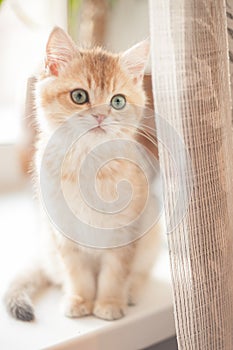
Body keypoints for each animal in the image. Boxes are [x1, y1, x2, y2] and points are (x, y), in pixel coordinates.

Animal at [4, 27, 160, 322]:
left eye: (118, 101)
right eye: (79, 96)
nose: (100, 116)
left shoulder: (125, 233)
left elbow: (115, 272)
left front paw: (109, 302)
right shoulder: (63, 233)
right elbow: (77, 273)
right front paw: (80, 300)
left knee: (140, 274)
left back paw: (130, 292)